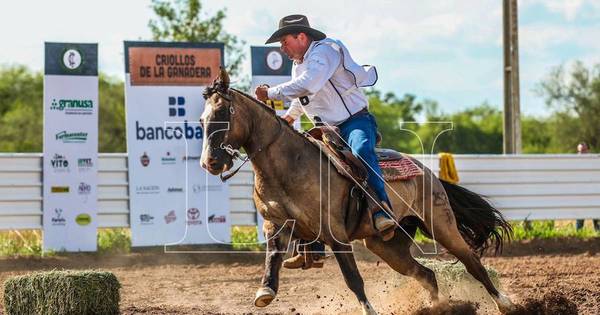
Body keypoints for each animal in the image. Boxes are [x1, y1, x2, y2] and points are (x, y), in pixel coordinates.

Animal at [198, 69, 516, 315]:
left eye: (223, 112)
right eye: (202, 120)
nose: (210, 162)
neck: (288, 164)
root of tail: (426, 171)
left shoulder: (335, 232)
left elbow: (353, 278)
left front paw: (369, 309)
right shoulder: (274, 224)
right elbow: (272, 258)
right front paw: (265, 291)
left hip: (441, 224)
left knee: (471, 261)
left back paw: (504, 304)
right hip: (386, 246)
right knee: (426, 274)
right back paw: (439, 307)